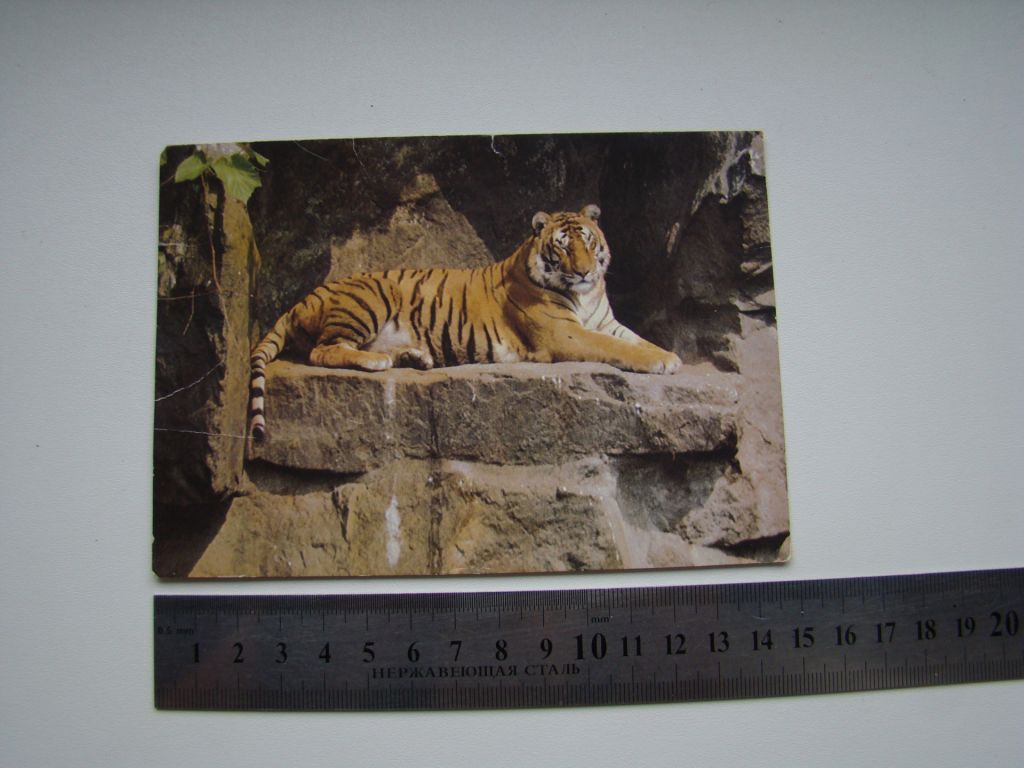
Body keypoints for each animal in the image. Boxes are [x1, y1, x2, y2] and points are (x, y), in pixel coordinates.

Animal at [249, 204, 681, 441]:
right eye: (561, 247)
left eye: (588, 241)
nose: (584, 272)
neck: (585, 295)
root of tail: (305, 296)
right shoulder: (565, 333)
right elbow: (616, 347)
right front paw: (660, 362)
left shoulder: (605, 321)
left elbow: (634, 339)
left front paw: (669, 355)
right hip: (369, 299)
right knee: (324, 350)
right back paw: (377, 362)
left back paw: (417, 358)